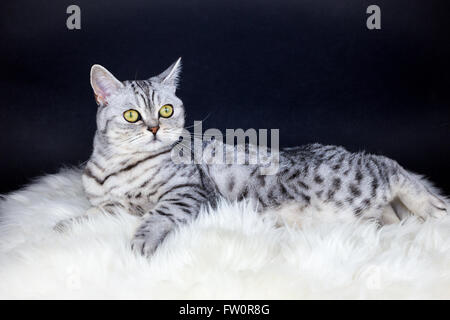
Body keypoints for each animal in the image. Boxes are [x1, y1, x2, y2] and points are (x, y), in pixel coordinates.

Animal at [73, 58, 446, 256]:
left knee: (390, 166)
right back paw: (396, 222)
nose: (154, 128)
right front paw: (69, 224)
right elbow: (91, 213)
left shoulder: (186, 191)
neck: (115, 167)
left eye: (166, 110)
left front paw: (142, 241)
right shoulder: (114, 204)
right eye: (132, 115)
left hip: (349, 182)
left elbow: (158, 215)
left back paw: (433, 207)